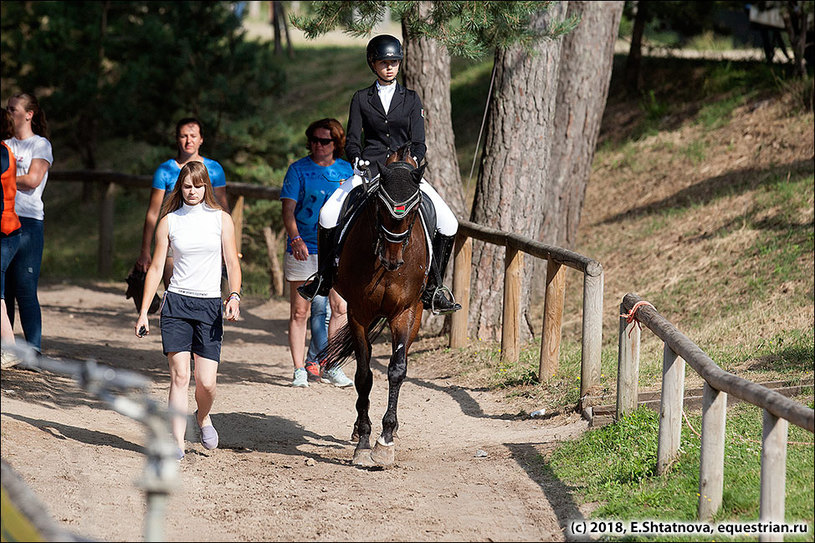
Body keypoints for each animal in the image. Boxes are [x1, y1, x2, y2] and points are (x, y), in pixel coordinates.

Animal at [322, 146, 430, 468]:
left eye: (414, 209)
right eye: (380, 206)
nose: (393, 261)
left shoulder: (405, 313)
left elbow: (396, 371)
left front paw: (386, 440)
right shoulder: (359, 313)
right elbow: (364, 376)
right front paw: (364, 441)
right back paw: (358, 430)